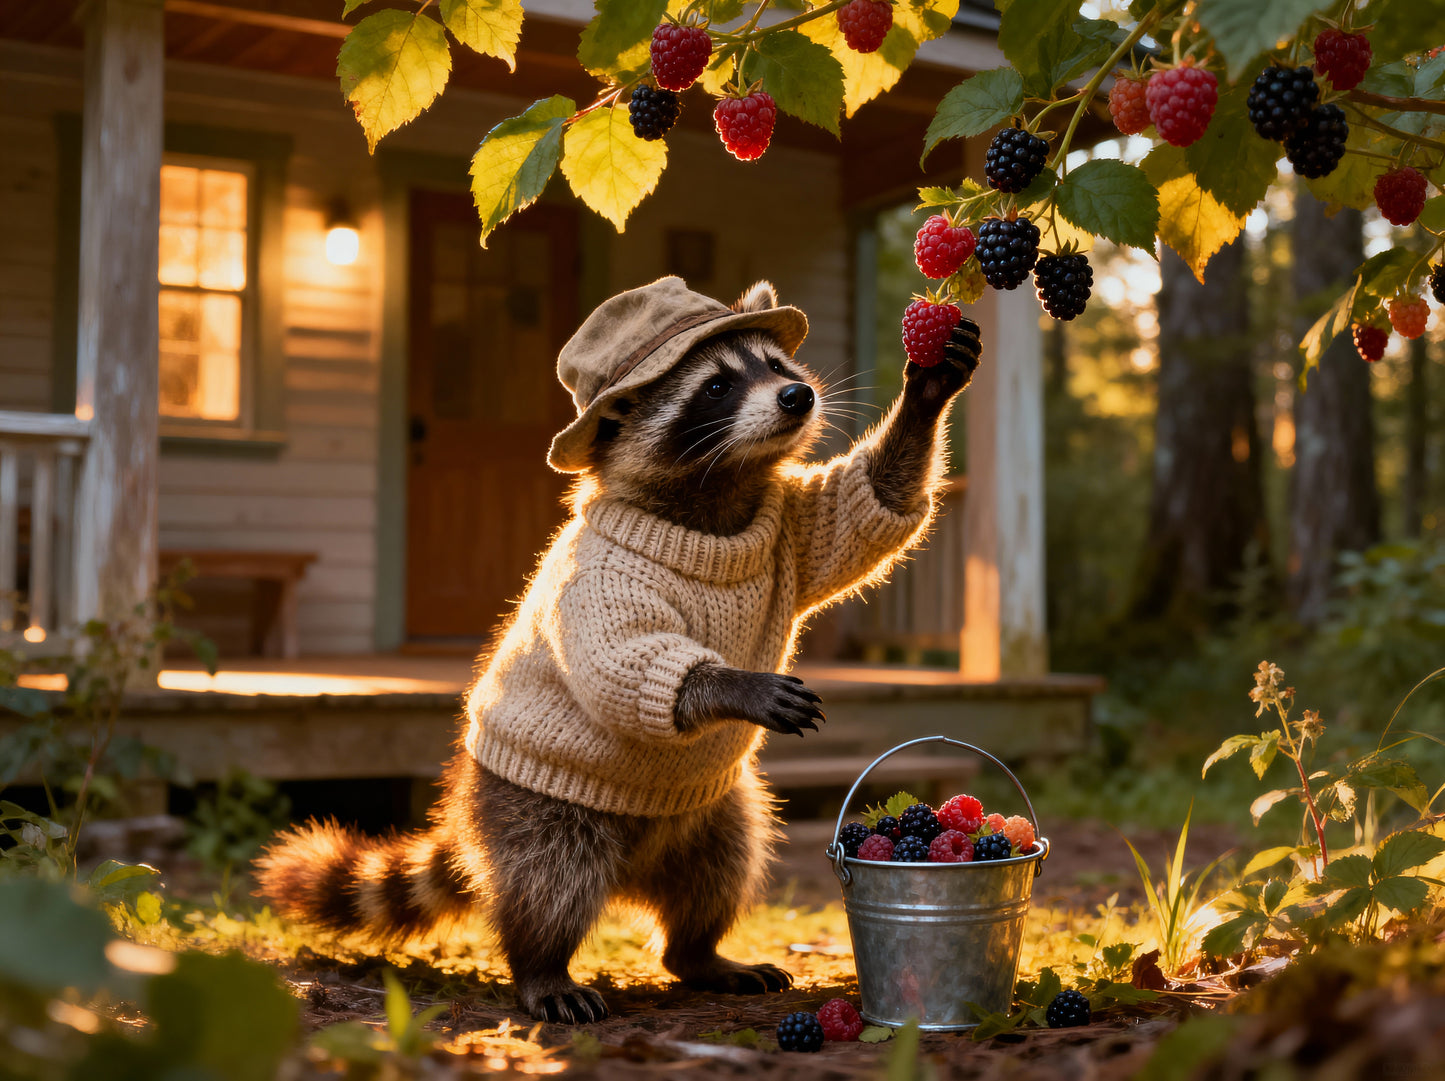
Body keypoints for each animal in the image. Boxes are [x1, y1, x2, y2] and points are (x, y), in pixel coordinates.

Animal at [256, 280, 982, 1024]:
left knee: (724, 864)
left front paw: (926, 388)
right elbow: (624, 663)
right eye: (716, 385)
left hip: (711, 814)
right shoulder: (595, 582)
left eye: (776, 365)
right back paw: (540, 965)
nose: (796, 396)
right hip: (530, 804)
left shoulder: (789, 526)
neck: (714, 494)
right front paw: (729, 684)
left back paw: (698, 951)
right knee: (550, 878)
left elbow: (864, 509)